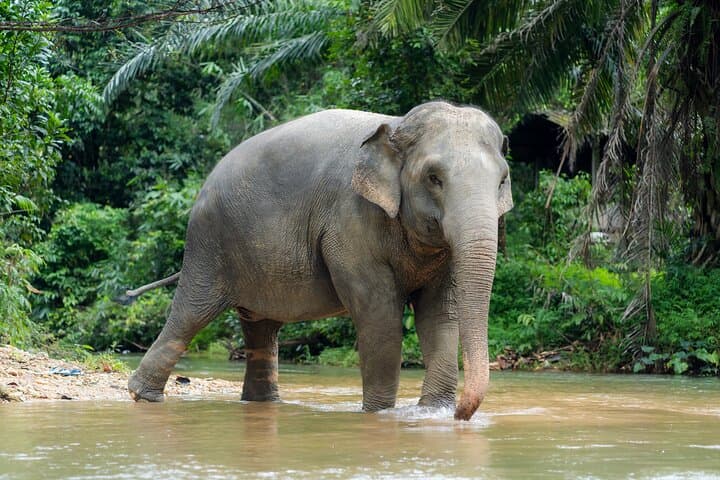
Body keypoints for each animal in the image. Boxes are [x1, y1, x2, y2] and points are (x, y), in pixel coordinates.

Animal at [127, 101, 513, 420]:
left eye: (502, 180)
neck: (397, 125)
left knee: (261, 329)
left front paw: (432, 414)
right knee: (191, 314)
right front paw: (379, 415)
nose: (461, 414)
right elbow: (380, 315)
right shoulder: (349, 221)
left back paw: (262, 403)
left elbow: (439, 315)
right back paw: (143, 397)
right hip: (209, 244)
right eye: (434, 178)